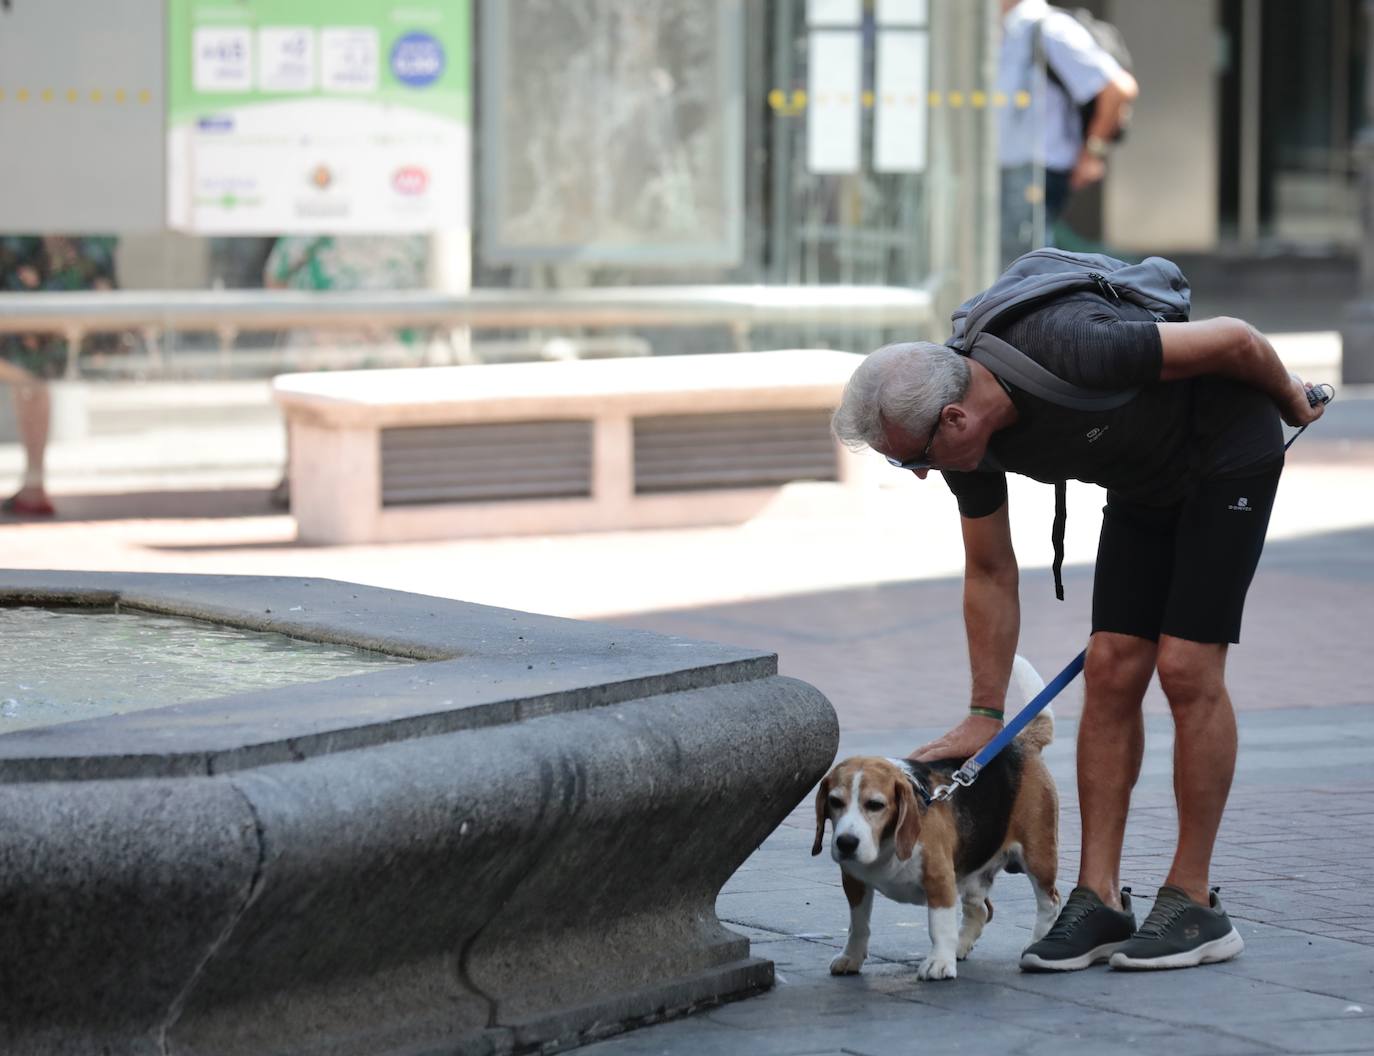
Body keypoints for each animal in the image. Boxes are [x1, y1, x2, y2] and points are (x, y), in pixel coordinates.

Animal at [813, 653, 1060, 983]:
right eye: (835, 802)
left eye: (875, 805)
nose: (846, 843)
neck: (887, 846)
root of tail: (1022, 743)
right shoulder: (854, 882)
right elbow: (858, 925)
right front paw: (851, 957)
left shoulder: (940, 880)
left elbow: (938, 927)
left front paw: (939, 963)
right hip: (974, 873)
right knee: (981, 910)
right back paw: (962, 946)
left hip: (1039, 857)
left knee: (1049, 903)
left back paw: (1036, 943)